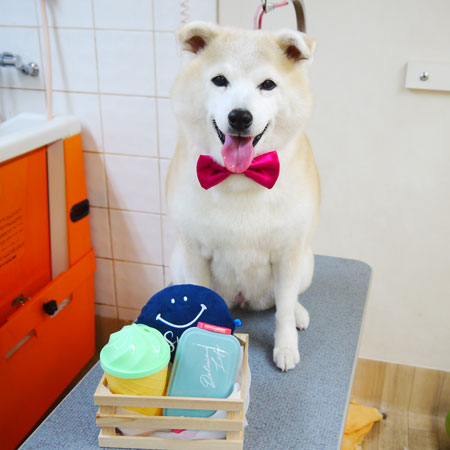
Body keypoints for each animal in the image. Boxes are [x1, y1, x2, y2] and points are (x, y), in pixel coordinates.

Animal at [166, 22, 320, 371]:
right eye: (220, 80)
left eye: (268, 85)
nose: (239, 116)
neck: (240, 175)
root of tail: (243, 299)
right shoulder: (194, 253)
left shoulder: (288, 254)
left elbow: (283, 311)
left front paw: (285, 346)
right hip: (178, 262)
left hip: (305, 263)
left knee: (288, 299)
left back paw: (299, 314)